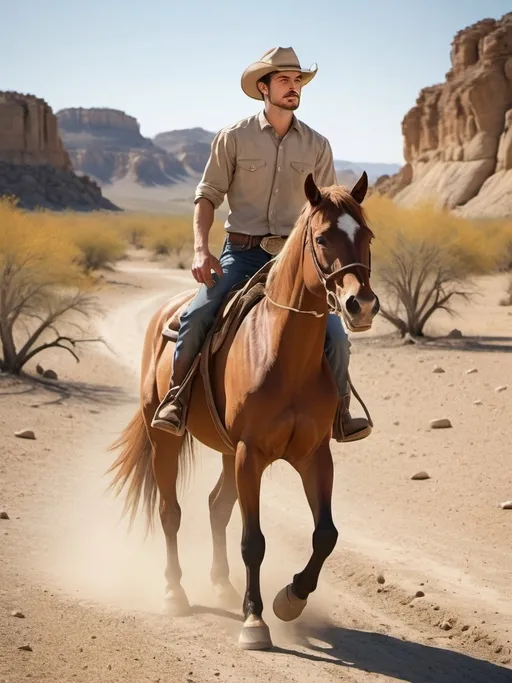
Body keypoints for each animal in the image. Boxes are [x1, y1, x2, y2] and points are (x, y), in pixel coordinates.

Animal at [108, 172, 378, 652]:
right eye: (322, 237)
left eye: (366, 235)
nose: (360, 305)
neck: (284, 356)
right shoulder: (250, 455)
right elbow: (253, 541)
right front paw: (255, 620)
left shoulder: (314, 456)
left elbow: (326, 534)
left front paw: (291, 598)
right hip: (166, 440)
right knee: (171, 512)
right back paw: (175, 593)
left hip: (225, 450)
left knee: (216, 506)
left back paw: (223, 586)